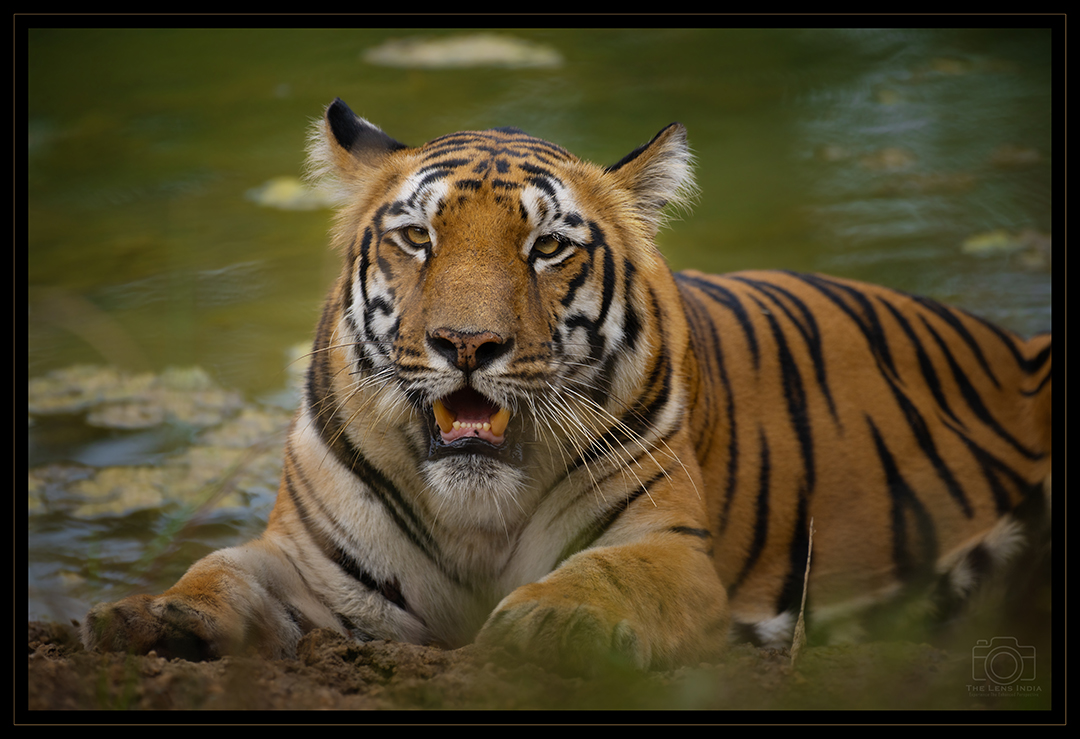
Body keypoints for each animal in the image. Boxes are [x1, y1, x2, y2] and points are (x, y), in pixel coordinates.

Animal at [79, 96, 1049, 669]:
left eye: (546, 246)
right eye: (418, 237)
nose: (467, 343)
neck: (474, 514)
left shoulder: (672, 547)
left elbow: (606, 576)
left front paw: (548, 623)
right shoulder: (317, 566)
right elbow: (221, 568)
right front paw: (157, 614)